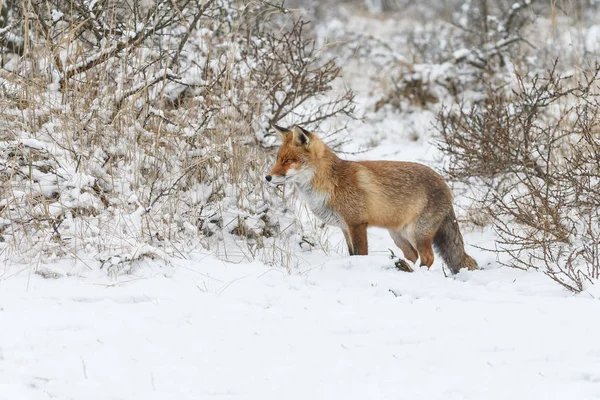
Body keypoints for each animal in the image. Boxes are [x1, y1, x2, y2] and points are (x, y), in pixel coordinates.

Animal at [266, 126, 478, 276]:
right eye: (277, 159)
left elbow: (361, 254)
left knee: (428, 257)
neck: (331, 182)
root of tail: (446, 185)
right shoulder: (345, 228)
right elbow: (352, 254)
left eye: (288, 161)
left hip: (417, 233)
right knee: (414, 255)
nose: (267, 177)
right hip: (398, 235)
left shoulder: (357, 224)